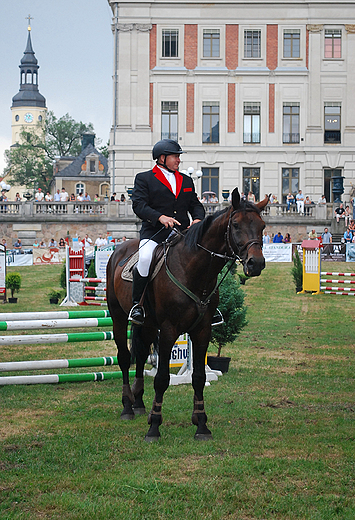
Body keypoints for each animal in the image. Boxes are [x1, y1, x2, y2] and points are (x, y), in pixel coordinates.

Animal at [107, 189, 268, 440]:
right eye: (235, 225)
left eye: (262, 226)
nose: (256, 263)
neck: (193, 269)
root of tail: (121, 248)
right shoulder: (169, 330)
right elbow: (162, 378)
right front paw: (154, 426)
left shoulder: (202, 330)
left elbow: (199, 377)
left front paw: (201, 424)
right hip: (119, 317)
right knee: (124, 357)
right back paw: (127, 407)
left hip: (148, 324)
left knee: (141, 355)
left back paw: (139, 403)